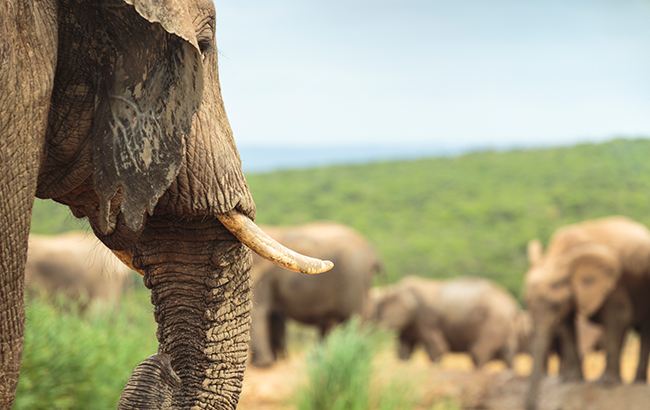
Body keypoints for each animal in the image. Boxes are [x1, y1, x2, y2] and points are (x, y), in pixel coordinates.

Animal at [247, 223, 380, 366]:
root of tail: (373, 254)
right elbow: (274, 316)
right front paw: (278, 360)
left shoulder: (264, 273)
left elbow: (260, 310)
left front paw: (262, 365)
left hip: (352, 277)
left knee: (354, 319)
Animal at [368, 276, 520, 368]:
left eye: (377, 310)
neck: (394, 288)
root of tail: (511, 305)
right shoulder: (411, 324)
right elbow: (404, 351)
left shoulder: (424, 317)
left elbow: (437, 348)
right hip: (505, 327)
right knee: (508, 353)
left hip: (492, 322)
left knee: (478, 352)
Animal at [520, 216, 650, 408]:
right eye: (526, 301)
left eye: (555, 304)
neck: (560, 257)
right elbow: (566, 323)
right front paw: (571, 381)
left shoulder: (614, 282)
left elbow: (619, 315)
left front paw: (608, 384)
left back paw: (631, 382)